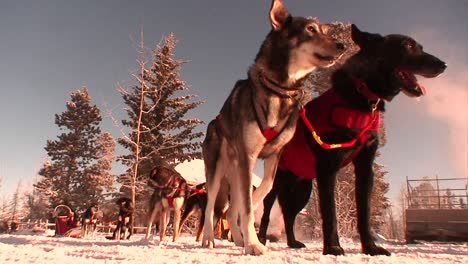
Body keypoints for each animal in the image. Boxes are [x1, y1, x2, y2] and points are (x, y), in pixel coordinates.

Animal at [260, 25, 446, 256]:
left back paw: (293, 242)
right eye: (408, 46)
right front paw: (332, 247)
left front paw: (370, 247)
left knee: (288, 214)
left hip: (302, 189)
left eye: (420, 46)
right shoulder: (328, 168)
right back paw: (260, 239)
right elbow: (330, 213)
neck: (362, 95)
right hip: (277, 182)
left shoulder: (365, 167)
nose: (443, 65)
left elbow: (364, 212)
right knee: (267, 208)